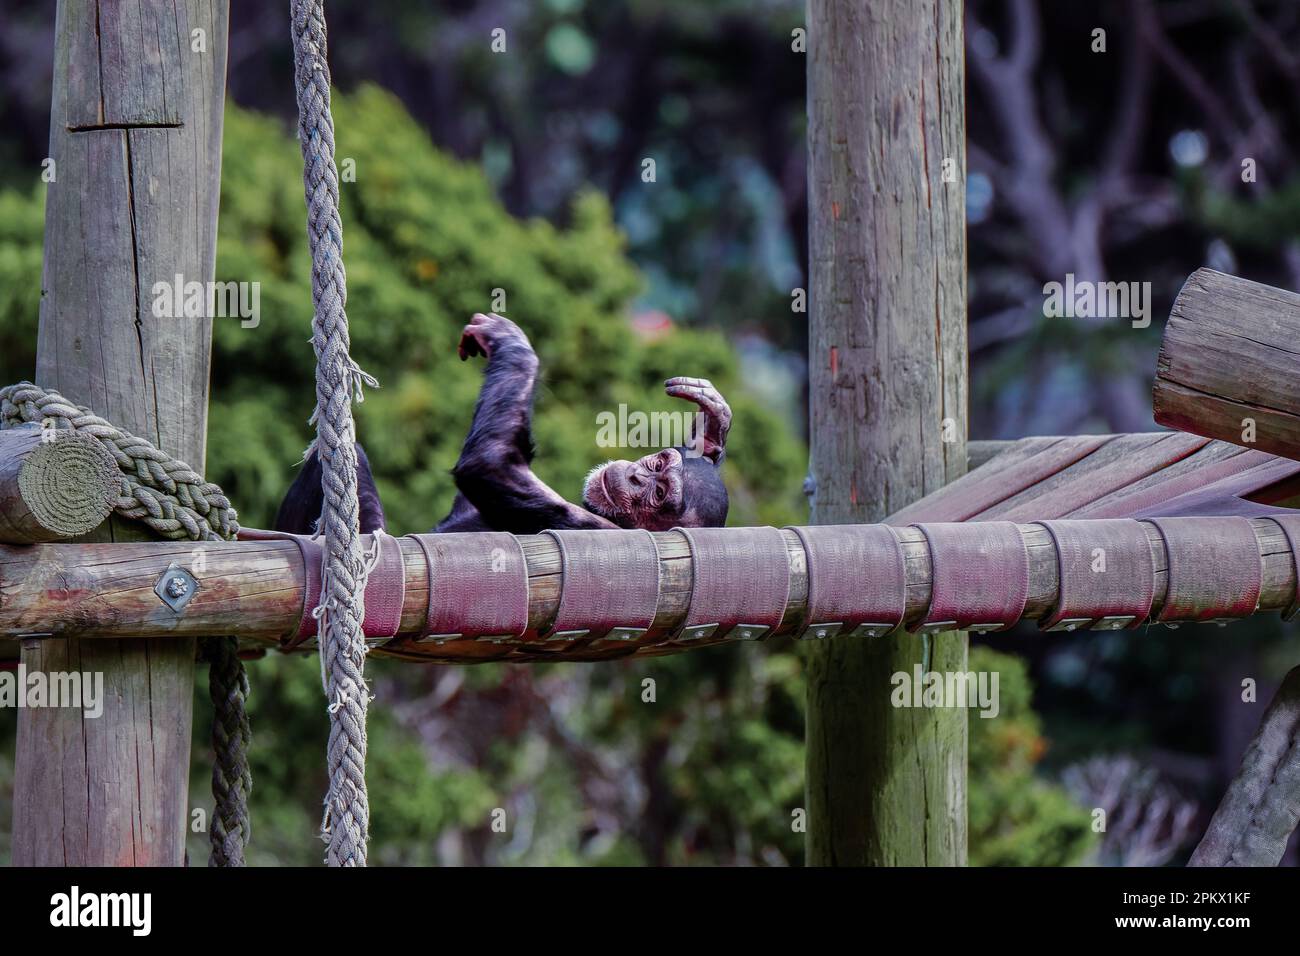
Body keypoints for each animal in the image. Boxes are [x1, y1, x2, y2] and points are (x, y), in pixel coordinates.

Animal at [271, 314, 733, 538]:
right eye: (658, 464)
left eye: (659, 493)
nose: (637, 475)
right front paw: (711, 428)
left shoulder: (592, 529)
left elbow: (490, 465)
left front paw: (513, 343)